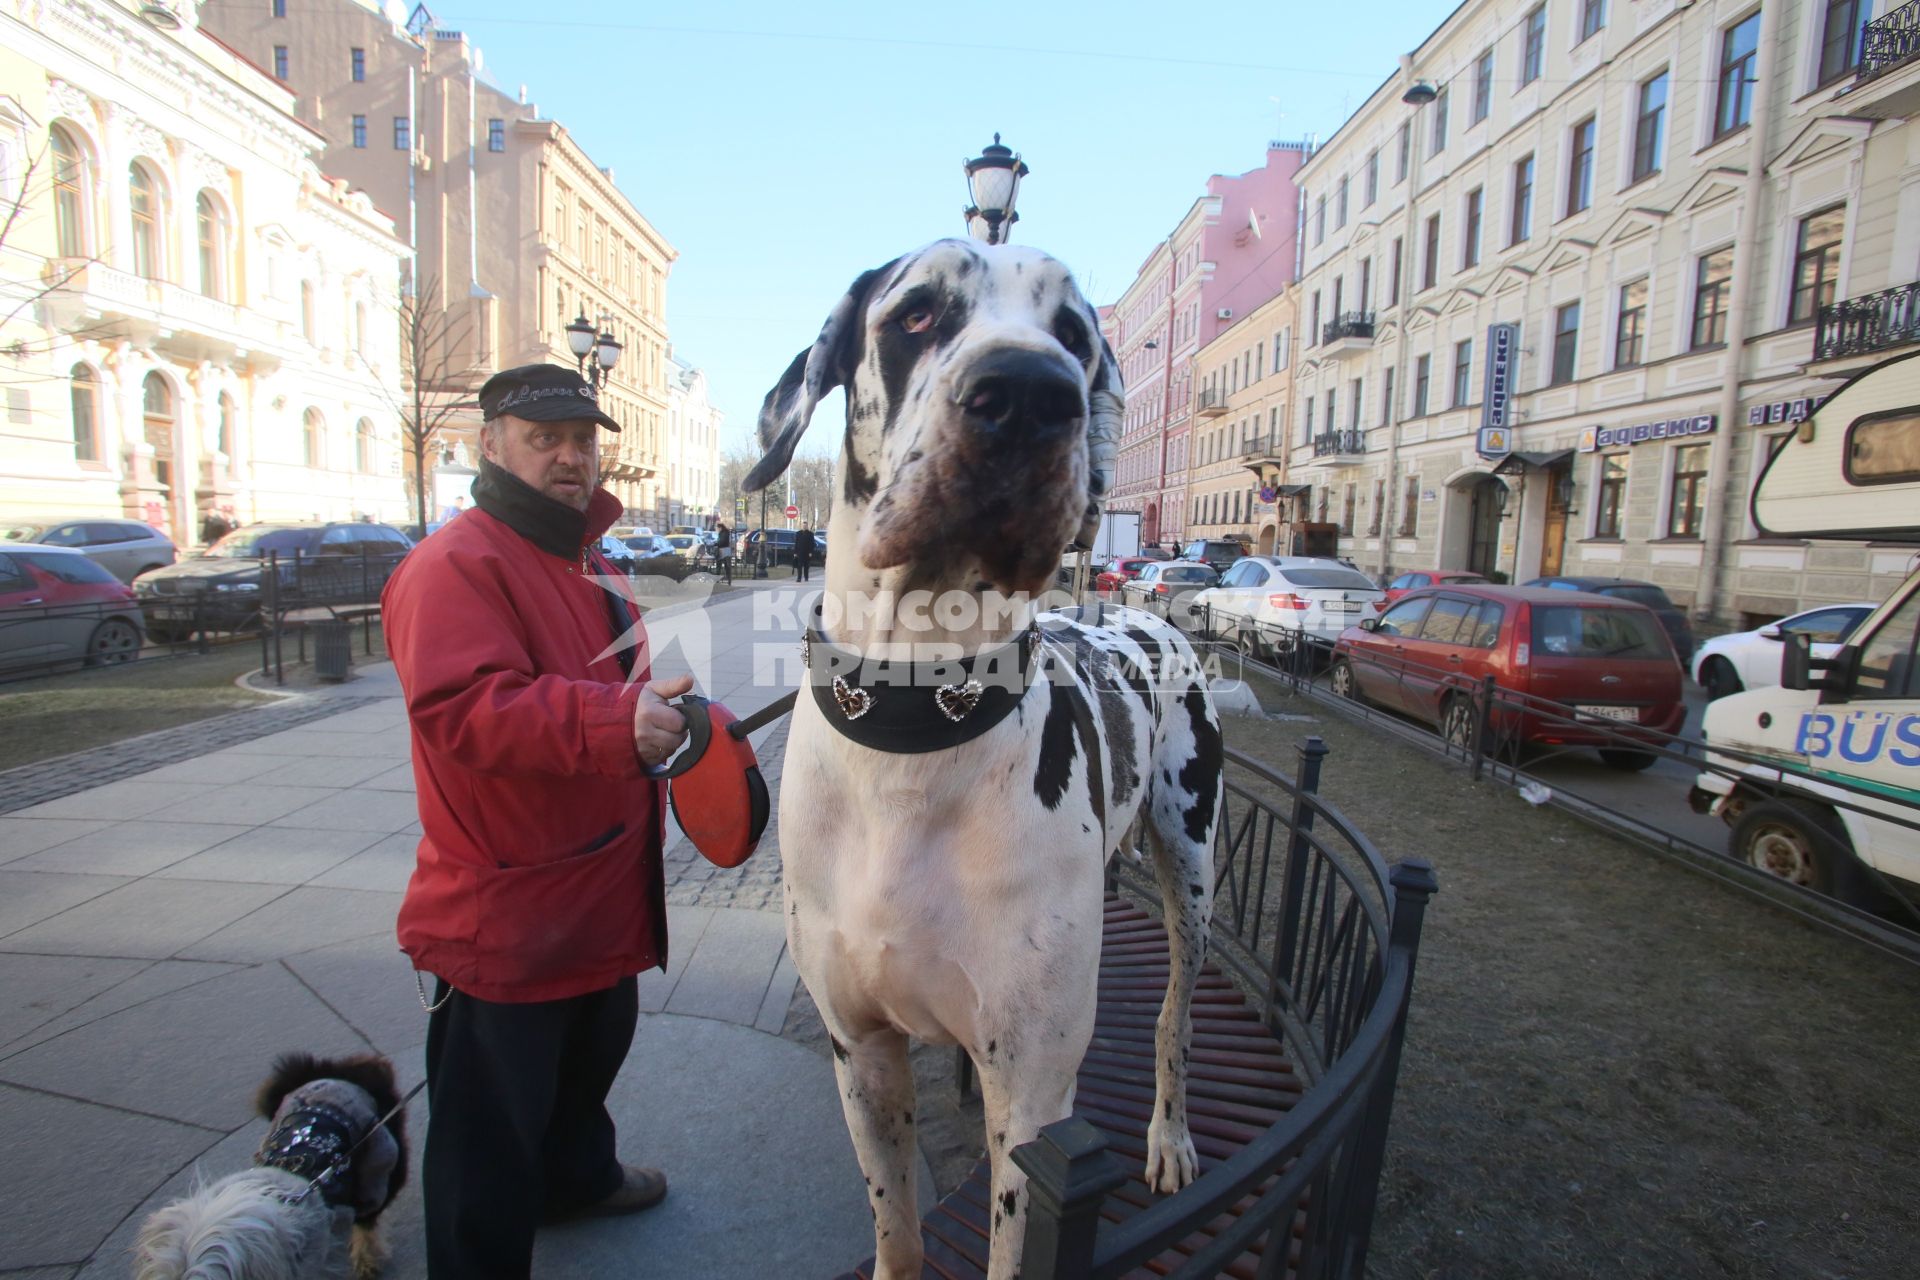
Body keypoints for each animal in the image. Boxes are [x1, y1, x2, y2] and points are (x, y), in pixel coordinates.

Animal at [741, 237, 1221, 1274]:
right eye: (917, 312)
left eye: (1074, 334)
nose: (1031, 393)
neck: (915, 725)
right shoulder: (861, 1054)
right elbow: (897, 1229)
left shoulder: (1033, 1099)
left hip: (1194, 868)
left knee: (1176, 1014)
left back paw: (1169, 1134)